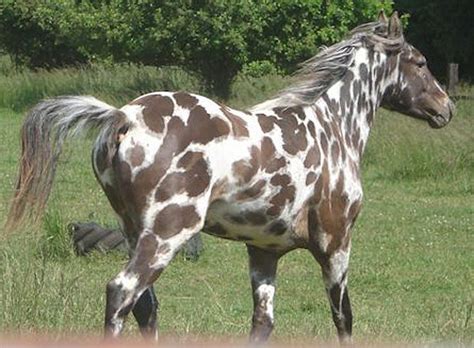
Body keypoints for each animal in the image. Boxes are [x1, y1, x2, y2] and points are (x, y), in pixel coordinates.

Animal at [5, 12, 454, 344]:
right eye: (420, 62)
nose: (446, 108)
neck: (330, 127)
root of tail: (123, 115)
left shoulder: (264, 252)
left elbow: (262, 324)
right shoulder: (335, 244)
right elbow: (343, 317)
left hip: (134, 231)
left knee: (146, 307)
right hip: (168, 233)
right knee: (121, 293)